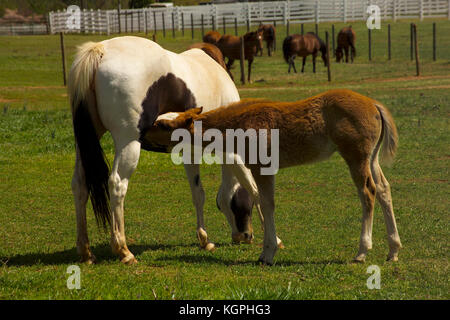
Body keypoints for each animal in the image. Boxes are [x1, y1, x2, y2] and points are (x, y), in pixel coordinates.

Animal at [69, 35, 255, 264]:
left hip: (86, 142)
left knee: (80, 184)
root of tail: (100, 50)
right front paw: (206, 240)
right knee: (117, 184)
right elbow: (202, 193)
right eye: (247, 203)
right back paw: (124, 250)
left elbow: (197, 192)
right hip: (129, 143)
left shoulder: (189, 150)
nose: (246, 236)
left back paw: (85, 252)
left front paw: (204, 239)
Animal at [142, 89, 402, 264]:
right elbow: (266, 202)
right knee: (384, 189)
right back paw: (393, 249)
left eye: (163, 125)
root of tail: (374, 105)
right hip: (371, 158)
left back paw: (362, 251)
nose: (142, 133)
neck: (239, 125)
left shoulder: (262, 166)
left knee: (368, 192)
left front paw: (267, 253)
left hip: (356, 156)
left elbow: (266, 204)